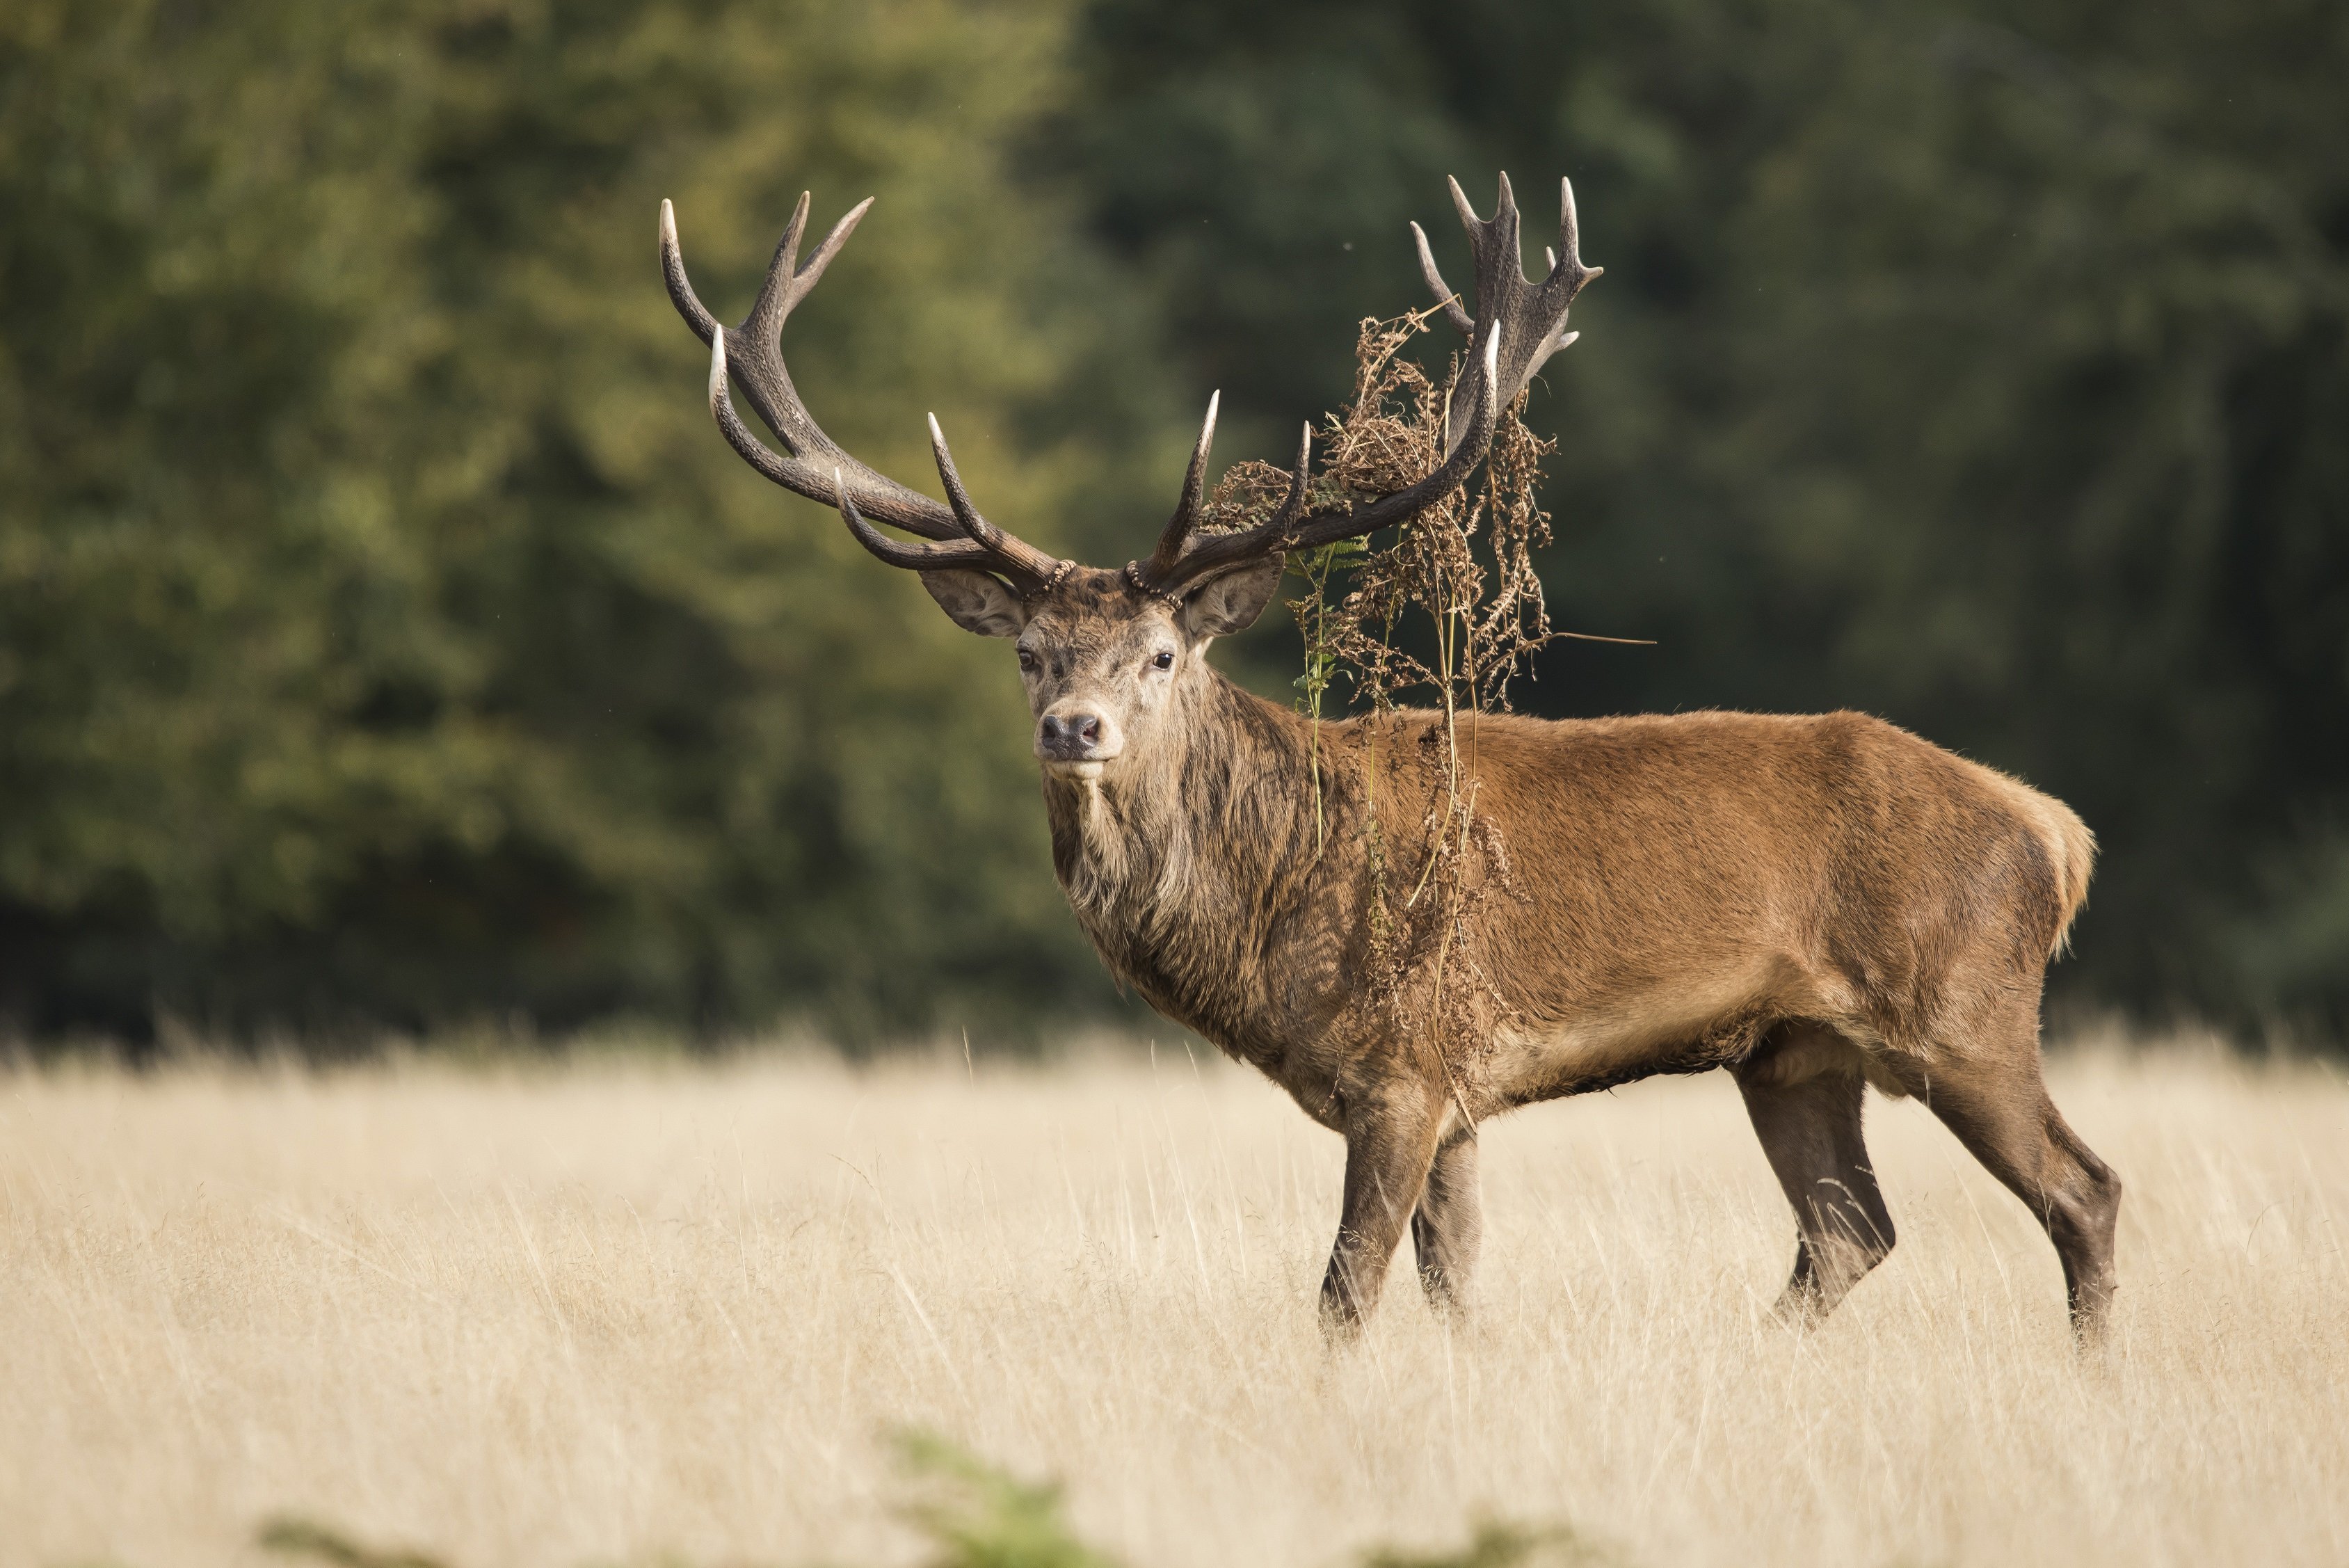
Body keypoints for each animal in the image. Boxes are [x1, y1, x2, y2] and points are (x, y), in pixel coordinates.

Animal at [658, 172, 2123, 1341]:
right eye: (1027, 651)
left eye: (1159, 654)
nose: (1073, 726)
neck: (1264, 926)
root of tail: (2057, 830)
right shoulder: (1462, 1095)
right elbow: (1452, 1283)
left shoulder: (1408, 1064)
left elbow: (1344, 1291)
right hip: (1792, 1050)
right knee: (1849, 1230)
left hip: (1963, 1005)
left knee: (2082, 1188)